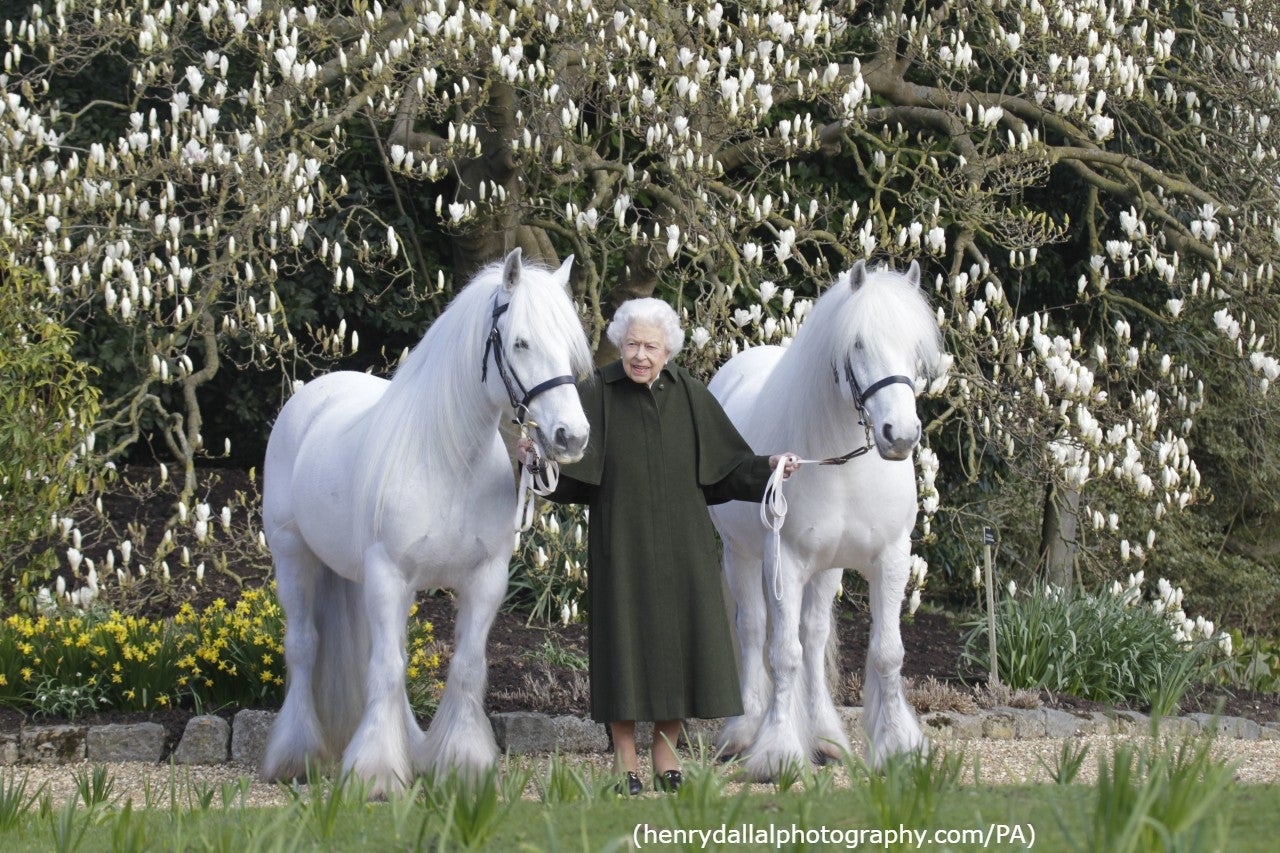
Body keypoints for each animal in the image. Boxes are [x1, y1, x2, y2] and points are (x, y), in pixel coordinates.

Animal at [267, 249, 596, 794]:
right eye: (521, 341)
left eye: (570, 346)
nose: (572, 436)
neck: (448, 462)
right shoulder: (388, 574)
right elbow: (385, 668)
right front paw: (376, 773)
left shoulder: (485, 579)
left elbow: (463, 667)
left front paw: (462, 764)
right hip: (293, 557)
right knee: (304, 647)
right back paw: (295, 755)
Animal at [706, 258, 947, 778]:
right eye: (857, 343)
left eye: (915, 348)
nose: (900, 434)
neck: (843, 464)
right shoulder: (786, 562)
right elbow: (783, 654)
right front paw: (776, 752)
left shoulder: (890, 559)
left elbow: (886, 653)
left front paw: (898, 746)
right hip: (742, 556)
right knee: (754, 629)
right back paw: (744, 730)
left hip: (827, 568)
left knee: (813, 637)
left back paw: (825, 737)